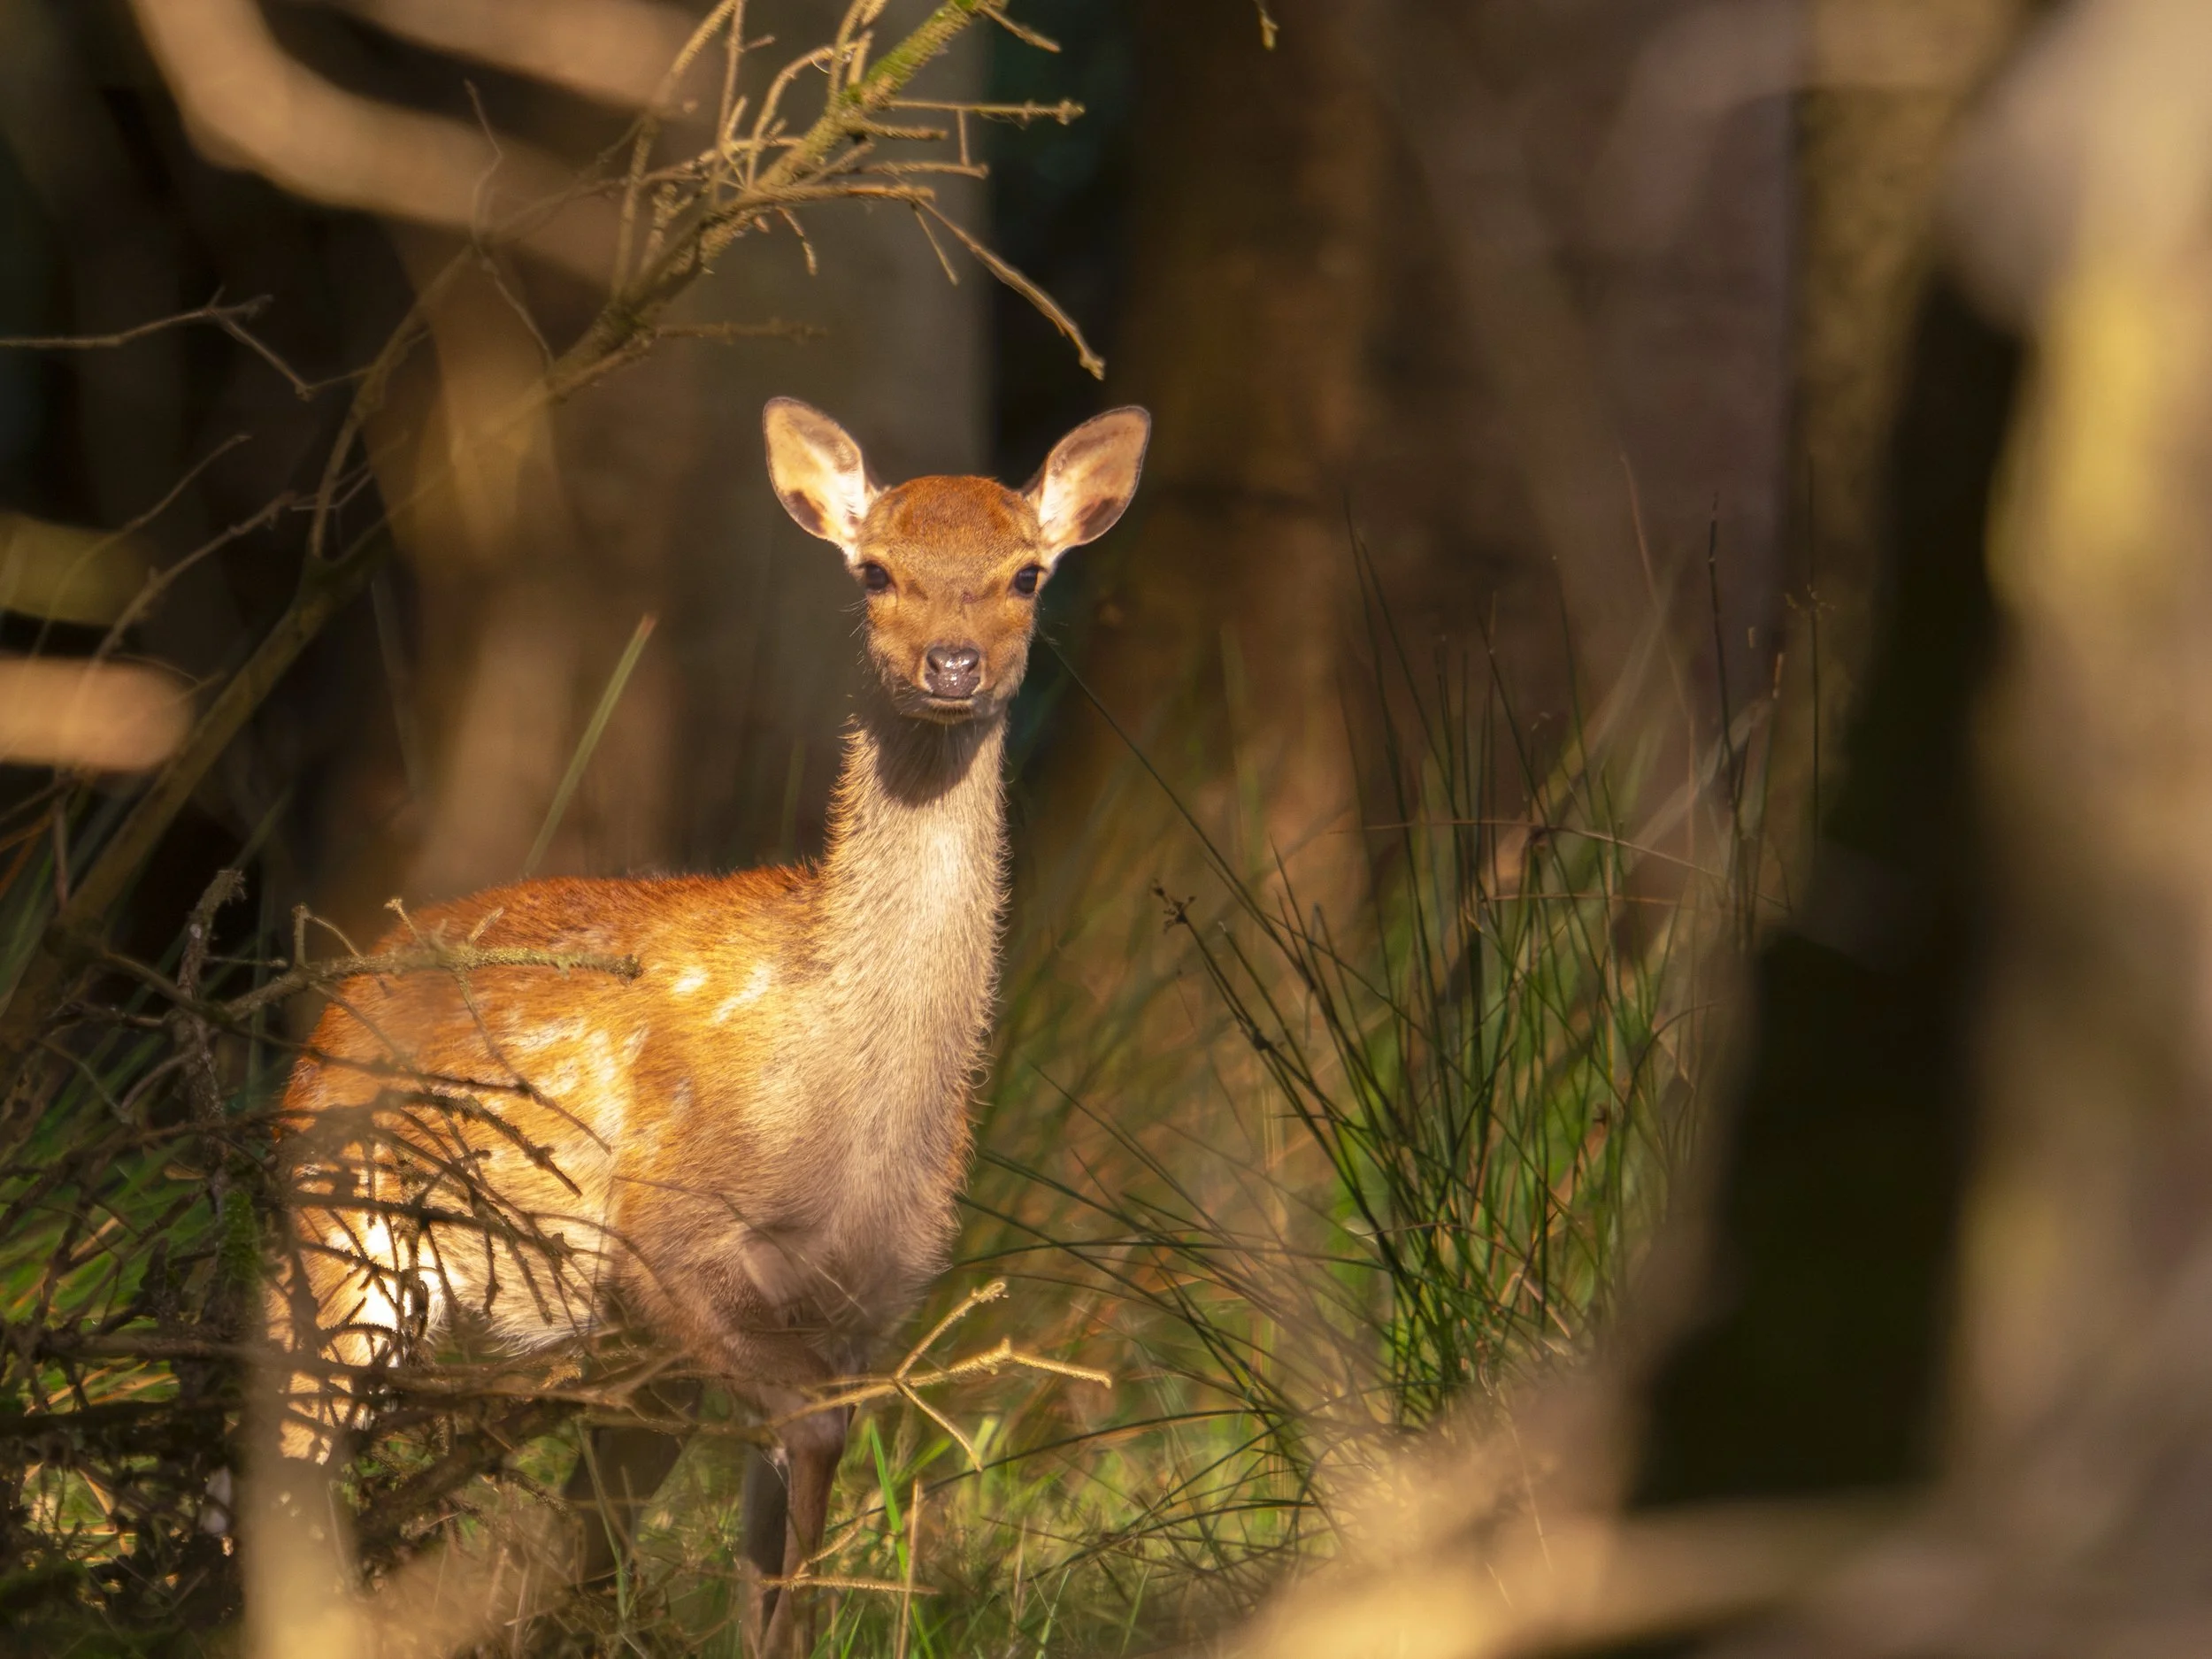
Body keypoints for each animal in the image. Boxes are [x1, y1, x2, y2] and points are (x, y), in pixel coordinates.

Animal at [266, 397, 1150, 1650]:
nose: (952, 664)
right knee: (288, 1459)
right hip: (338, 1234)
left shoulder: (867, 1302)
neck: (847, 1108)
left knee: (573, 1534)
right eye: (875, 569)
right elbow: (812, 1436)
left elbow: (780, 1540)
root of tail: (329, 1011)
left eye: (1027, 572)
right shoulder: (666, 1235)